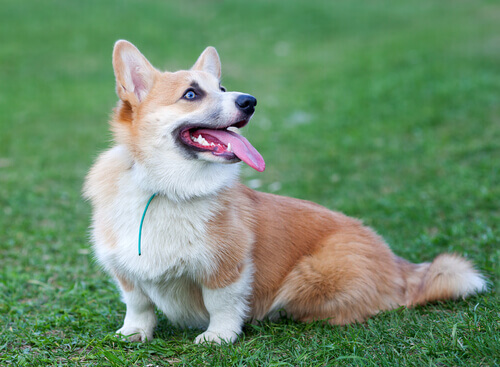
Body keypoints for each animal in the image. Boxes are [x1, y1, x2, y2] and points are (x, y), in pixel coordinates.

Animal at [84, 40, 486, 344]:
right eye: (191, 94)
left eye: (223, 89)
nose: (249, 101)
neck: (168, 189)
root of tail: (401, 267)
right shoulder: (126, 270)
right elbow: (138, 304)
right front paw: (133, 333)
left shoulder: (227, 268)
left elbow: (221, 305)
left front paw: (218, 337)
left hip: (308, 276)